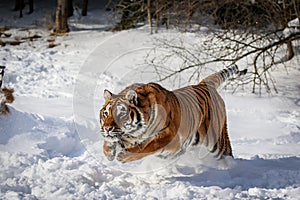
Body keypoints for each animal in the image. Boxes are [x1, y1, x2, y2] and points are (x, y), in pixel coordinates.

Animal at [98, 65, 246, 163]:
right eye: (106, 113)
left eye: (121, 113)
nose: (107, 129)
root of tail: (203, 84)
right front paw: (108, 152)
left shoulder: (170, 134)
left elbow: (149, 145)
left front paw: (123, 156)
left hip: (217, 141)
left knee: (228, 155)